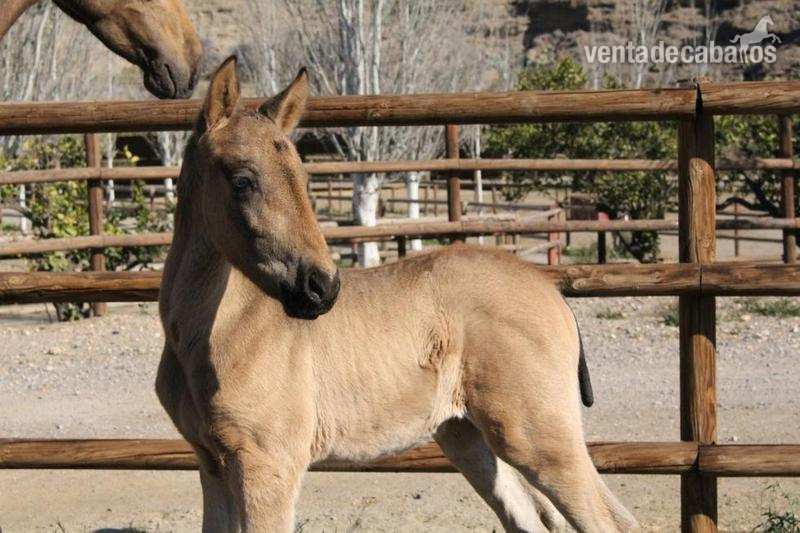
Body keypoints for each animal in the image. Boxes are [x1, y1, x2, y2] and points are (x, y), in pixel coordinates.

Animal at [156, 56, 638, 533]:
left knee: (612, 522)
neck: (214, 333)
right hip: (465, 435)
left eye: (304, 179)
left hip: (538, 437)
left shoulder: (268, 465)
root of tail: (552, 293)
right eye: (242, 181)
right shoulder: (211, 463)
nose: (322, 287)